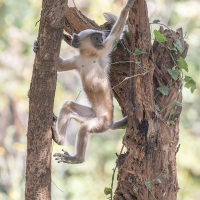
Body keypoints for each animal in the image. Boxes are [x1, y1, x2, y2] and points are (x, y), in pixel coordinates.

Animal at [52, 0, 136, 163]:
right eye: (96, 38)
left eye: (101, 38)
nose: (101, 40)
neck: (89, 56)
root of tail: (109, 120)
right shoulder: (77, 60)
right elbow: (60, 66)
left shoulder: (102, 51)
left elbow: (116, 34)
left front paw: (127, 7)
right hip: (90, 115)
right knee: (68, 106)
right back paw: (60, 139)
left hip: (100, 123)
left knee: (85, 128)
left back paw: (77, 159)